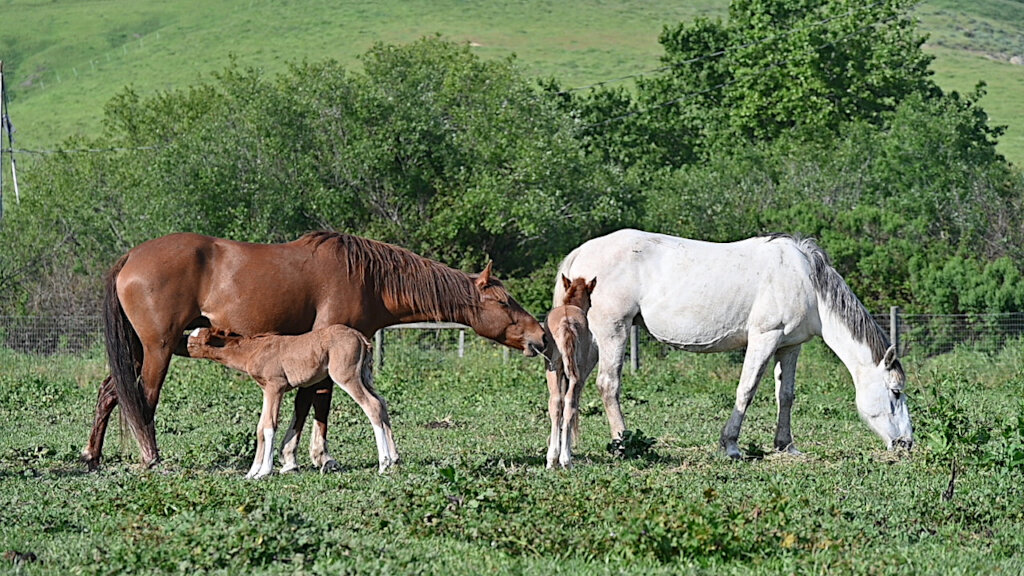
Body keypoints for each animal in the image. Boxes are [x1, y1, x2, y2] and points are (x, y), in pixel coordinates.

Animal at [184, 323, 395, 475]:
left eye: (193, 344)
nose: (182, 349)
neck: (254, 350)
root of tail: (361, 338)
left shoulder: (275, 387)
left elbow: (269, 426)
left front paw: (264, 471)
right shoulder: (266, 390)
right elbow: (260, 427)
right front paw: (251, 473)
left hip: (346, 375)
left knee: (372, 405)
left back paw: (383, 463)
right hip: (364, 375)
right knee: (381, 402)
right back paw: (394, 459)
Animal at [540, 272, 598, 467]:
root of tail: (567, 321)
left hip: (553, 369)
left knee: (556, 402)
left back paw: (552, 459)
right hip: (575, 374)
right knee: (570, 404)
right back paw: (565, 460)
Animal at [552, 226, 913, 459]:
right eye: (895, 392)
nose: (907, 444)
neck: (806, 281)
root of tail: (579, 254)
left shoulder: (790, 346)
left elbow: (786, 395)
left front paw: (786, 446)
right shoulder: (764, 338)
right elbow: (747, 389)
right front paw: (731, 446)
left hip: (591, 340)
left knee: (574, 387)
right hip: (613, 330)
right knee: (608, 385)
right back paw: (623, 444)